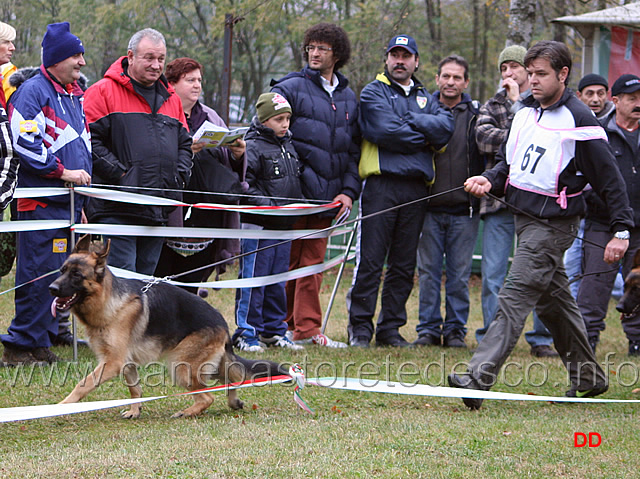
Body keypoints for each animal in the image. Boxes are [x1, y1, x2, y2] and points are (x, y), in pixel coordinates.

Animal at [51, 236, 286, 420]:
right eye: (62, 270)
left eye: (77, 275)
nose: (51, 288)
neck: (108, 301)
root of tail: (222, 322)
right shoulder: (125, 362)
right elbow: (135, 388)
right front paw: (135, 411)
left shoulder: (113, 362)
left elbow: (84, 383)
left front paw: (61, 407)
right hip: (207, 365)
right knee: (233, 379)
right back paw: (233, 402)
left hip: (180, 366)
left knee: (208, 396)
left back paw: (188, 411)